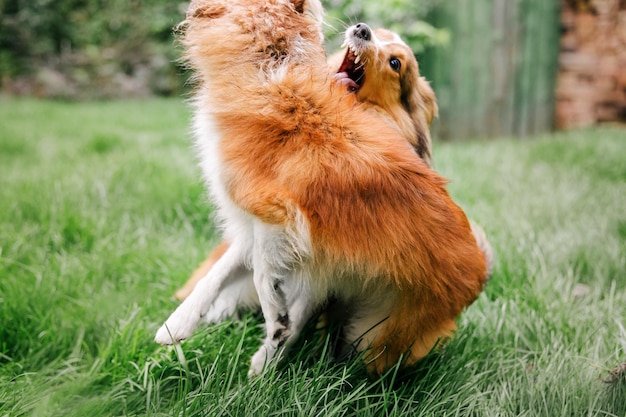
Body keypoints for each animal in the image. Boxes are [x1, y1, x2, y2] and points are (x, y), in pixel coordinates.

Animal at [155, 0, 488, 376]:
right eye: (378, 35)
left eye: (395, 63)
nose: (361, 29)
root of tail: (481, 269)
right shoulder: (258, 222)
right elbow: (222, 272)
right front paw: (177, 324)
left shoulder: (285, 219)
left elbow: (267, 277)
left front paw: (274, 330)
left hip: (372, 337)